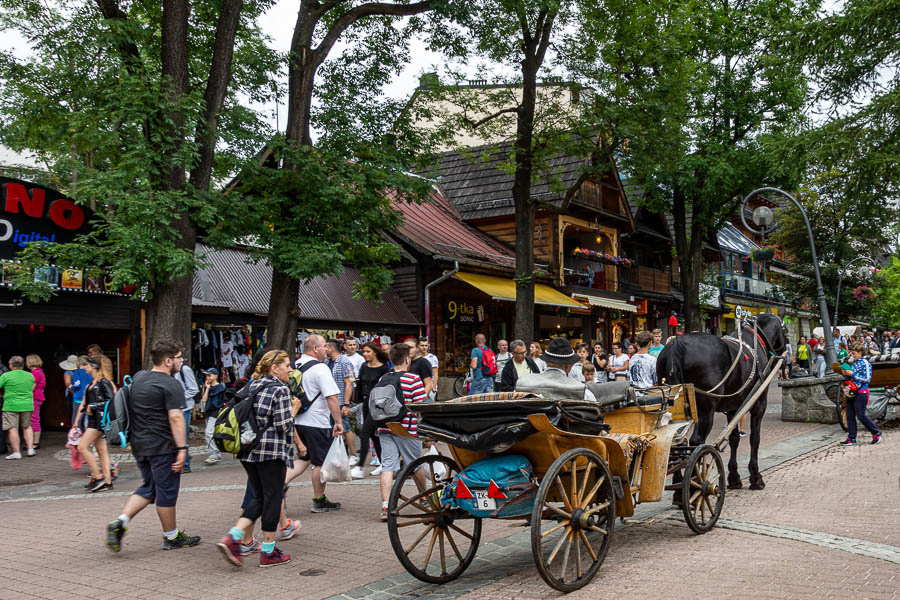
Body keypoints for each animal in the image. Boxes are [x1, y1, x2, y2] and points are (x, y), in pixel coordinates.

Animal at [652, 312, 788, 490]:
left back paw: (678, 484)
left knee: (677, 442)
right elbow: (755, 438)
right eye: (785, 330)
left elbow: (734, 438)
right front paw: (756, 477)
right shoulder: (758, 404)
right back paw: (695, 483)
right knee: (696, 441)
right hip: (705, 410)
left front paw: (734, 477)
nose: (787, 357)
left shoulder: (733, 407)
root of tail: (676, 344)